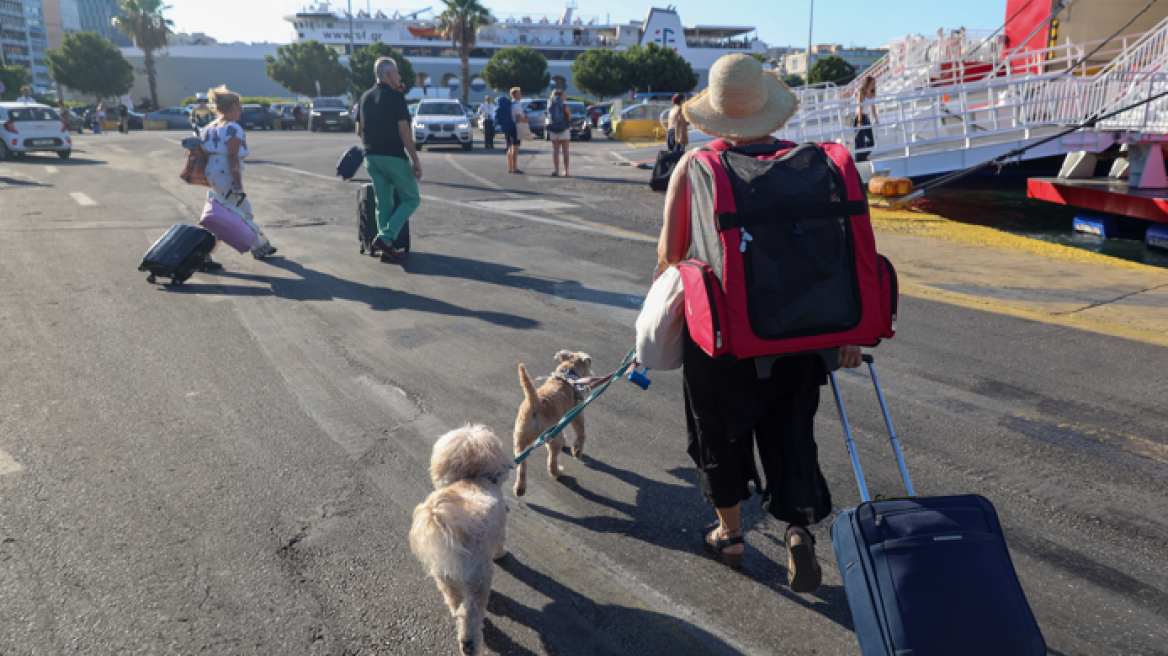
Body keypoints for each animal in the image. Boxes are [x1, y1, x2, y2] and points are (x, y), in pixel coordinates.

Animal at [411, 424, 511, 653]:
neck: (474, 479)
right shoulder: (500, 528)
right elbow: (501, 543)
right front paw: (501, 555)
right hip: (479, 575)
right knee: (471, 612)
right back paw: (469, 644)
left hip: (445, 577)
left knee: (456, 603)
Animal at [511, 347, 593, 494]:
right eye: (588, 364)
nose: (591, 376)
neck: (568, 371)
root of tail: (535, 402)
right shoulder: (577, 413)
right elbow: (581, 433)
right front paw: (577, 451)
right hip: (552, 438)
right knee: (552, 460)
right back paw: (558, 472)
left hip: (520, 438)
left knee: (521, 466)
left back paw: (519, 489)